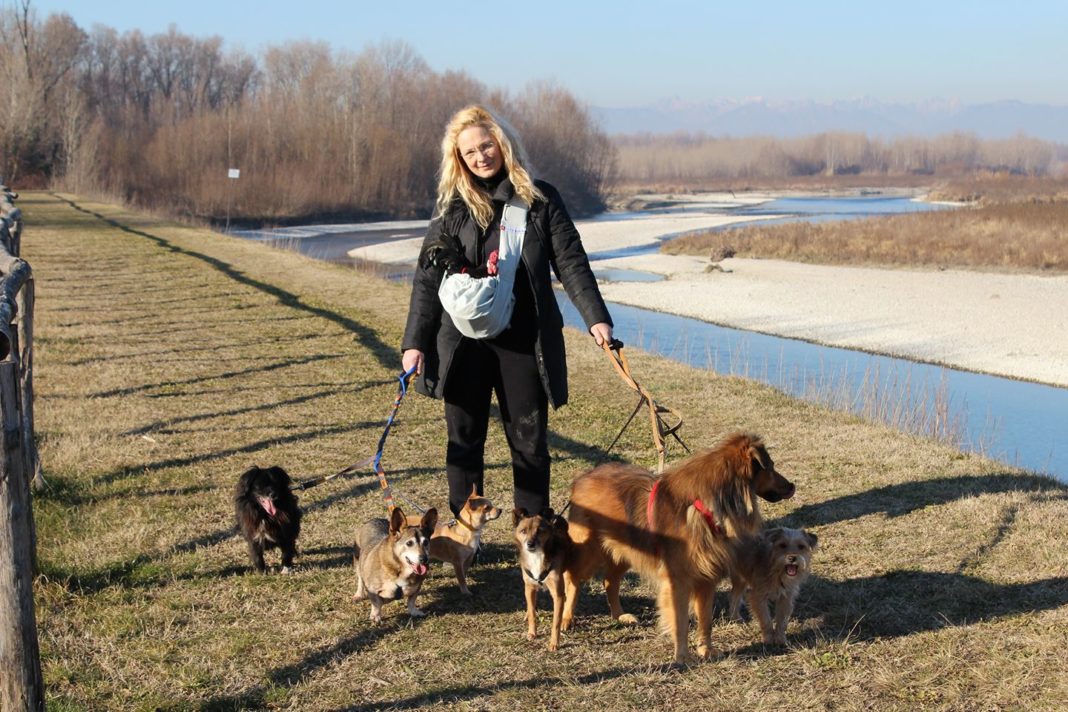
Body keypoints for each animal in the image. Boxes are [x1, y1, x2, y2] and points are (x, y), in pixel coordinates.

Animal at [568, 431, 794, 666]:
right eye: (770, 467)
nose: (792, 486)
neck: (704, 505)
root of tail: (582, 479)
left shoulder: (706, 578)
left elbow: (705, 620)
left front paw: (705, 650)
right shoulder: (678, 581)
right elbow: (680, 622)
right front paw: (682, 657)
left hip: (624, 553)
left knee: (609, 581)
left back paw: (620, 615)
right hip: (589, 552)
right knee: (572, 580)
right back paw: (567, 620)